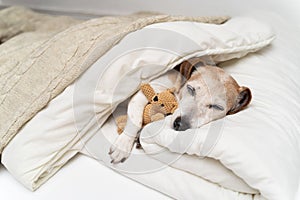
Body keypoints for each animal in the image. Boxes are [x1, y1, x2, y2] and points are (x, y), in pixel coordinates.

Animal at [109, 57, 252, 163]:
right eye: (190, 89)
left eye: (217, 107)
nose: (180, 124)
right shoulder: (145, 92)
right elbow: (135, 119)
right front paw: (123, 144)